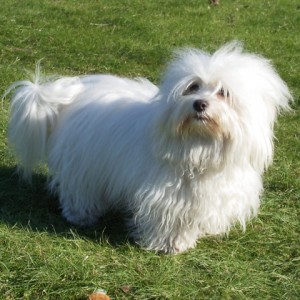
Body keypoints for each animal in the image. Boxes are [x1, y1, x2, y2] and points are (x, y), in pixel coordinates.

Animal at [6, 42, 292, 253]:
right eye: (193, 87)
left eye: (224, 92)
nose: (199, 104)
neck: (200, 145)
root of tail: (71, 94)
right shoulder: (167, 195)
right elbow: (168, 220)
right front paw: (169, 245)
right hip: (84, 166)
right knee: (78, 191)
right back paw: (81, 215)